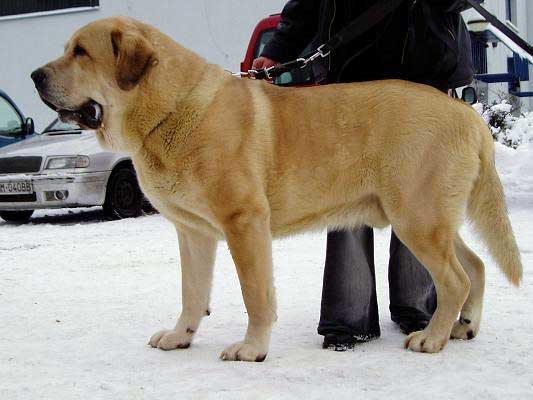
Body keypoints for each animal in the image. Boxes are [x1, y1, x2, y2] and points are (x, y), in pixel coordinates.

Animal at [31, 15, 520, 360]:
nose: (35, 76)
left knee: (456, 279)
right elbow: (192, 292)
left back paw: (431, 338)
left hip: (417, 219)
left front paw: (252, 349)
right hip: (430, 221)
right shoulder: (193, 233)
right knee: (476, 267)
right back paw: (463, 327)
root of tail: (469, 115)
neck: (170, 109)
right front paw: (180, 335)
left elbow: (256, 295)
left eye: (81, 52)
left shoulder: (244, 223)